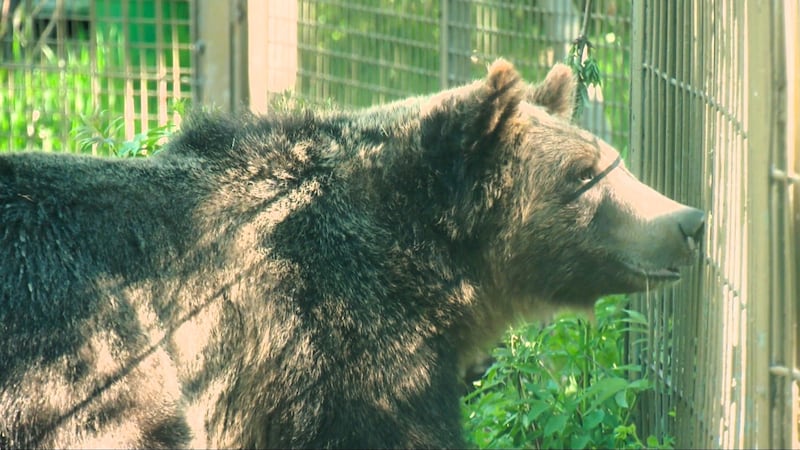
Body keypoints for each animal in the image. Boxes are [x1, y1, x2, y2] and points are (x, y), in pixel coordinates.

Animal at [0, 59, 704, 449]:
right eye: (584, 175)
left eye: (615, 159)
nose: (690, 220)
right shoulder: (339, 337)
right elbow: (393, 428)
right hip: (87, 357)